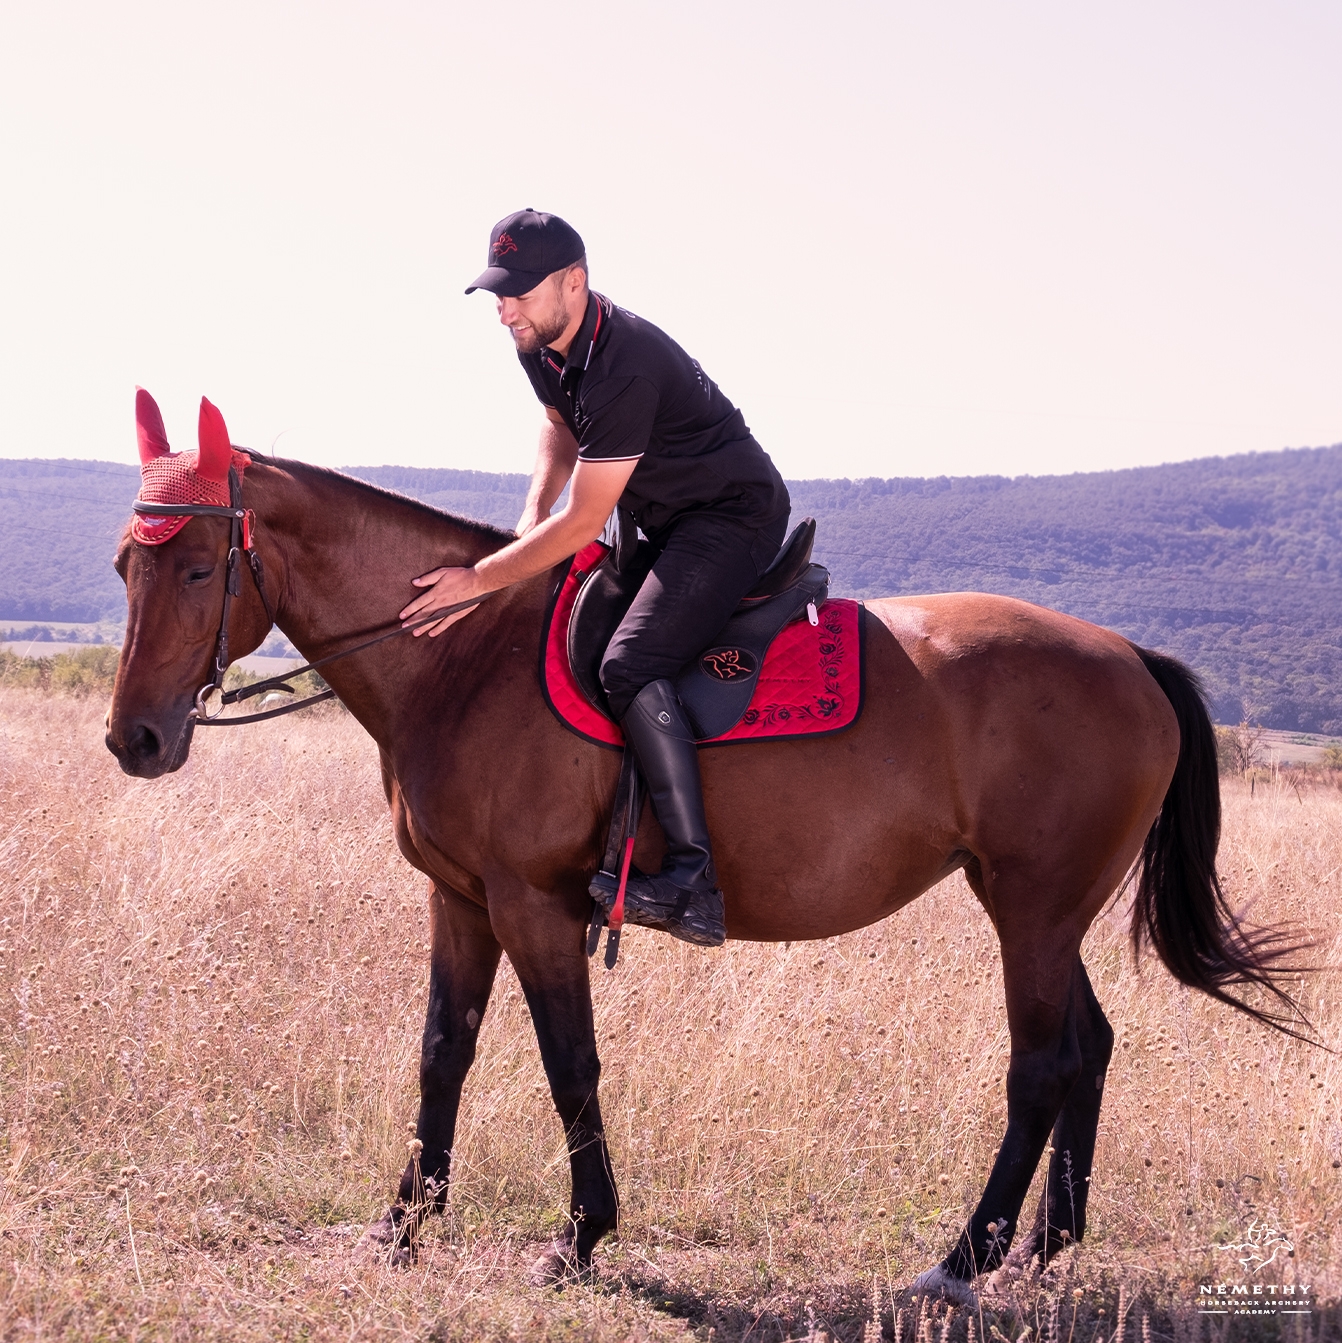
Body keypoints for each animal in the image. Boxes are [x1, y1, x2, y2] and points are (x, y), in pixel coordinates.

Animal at [105, 439, 1304, 1299]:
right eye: (125, 565)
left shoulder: (534, 906)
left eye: (202, 565)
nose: (136, 741)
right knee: (1089, 1047)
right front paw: (402, 1222)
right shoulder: (461, 900)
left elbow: (568, 1063)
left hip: (1034, 912)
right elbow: (443, 1053)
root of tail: (1129, 656)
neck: (460, 654)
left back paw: (963, 1257)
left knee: (1042, 1065)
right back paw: (1044, 1243)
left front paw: (579, 1236)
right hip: (1039, 910)